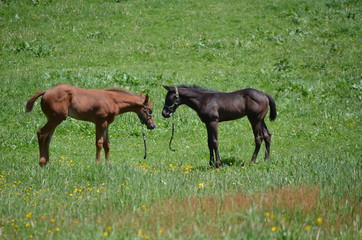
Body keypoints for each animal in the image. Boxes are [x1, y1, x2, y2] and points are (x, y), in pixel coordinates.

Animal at [25, 83, 156, 166]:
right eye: (150, 109)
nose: (153, 125)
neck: (113, 101)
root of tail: (46, 92)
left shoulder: (106, 124)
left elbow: (107, 144)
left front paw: (108, 164)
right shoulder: (100, 122)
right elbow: (99, 143)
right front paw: (97, 163)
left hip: (54, 119)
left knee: (48, 138)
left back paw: (47, 162)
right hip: (56, 118)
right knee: (41, 133)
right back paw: (42, 162)